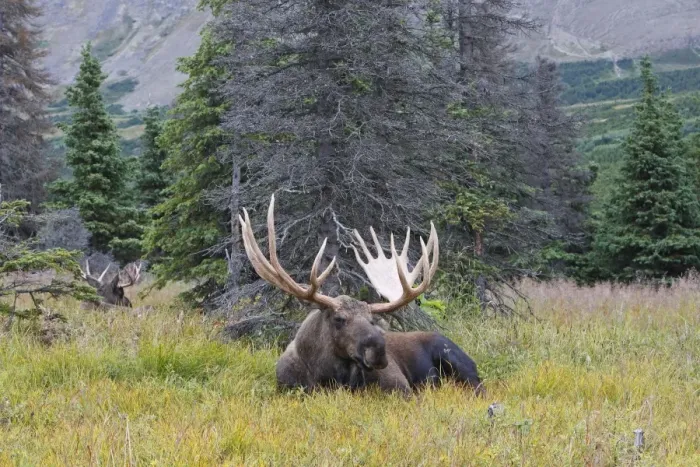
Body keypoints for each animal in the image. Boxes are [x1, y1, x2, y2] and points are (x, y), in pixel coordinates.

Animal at [239, 195, 482, 396]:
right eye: (339, 319)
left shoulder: (400, 386)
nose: (379, 349)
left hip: (460, 363)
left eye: (372, 319)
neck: (324, 376)